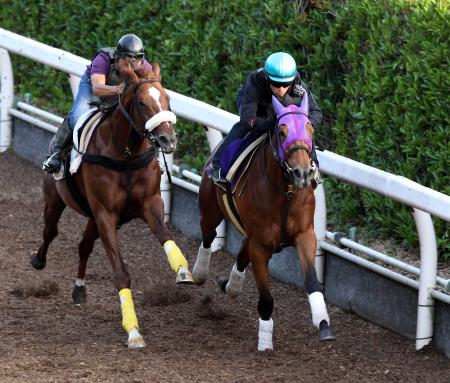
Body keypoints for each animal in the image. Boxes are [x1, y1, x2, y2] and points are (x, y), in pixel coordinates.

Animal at [31, 61, 193, 350]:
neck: (125, 154)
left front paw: (183, 270)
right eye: (141, 102)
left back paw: (79, 289)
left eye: (168, 99)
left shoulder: (149, 203)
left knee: (83, 246)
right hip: (56, 199)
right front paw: (133, 330)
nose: (168, 140)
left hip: (92, 218)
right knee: (50, 231)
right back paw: (38, 260)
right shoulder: (105, 214)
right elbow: (120, 273)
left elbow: (166, 235)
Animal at [192, 94, 336, 352]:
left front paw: (323, 323)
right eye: (281, 131)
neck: (285, 191)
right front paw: (265, 343)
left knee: (241, 253)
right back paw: (198, 273)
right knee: (208, 237)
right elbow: (266, 298)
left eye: (310, 128)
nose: (301, 173)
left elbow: (312, 281)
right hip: (210, 210)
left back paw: (230, 286)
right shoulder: (260, 245)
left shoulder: (304, 235)